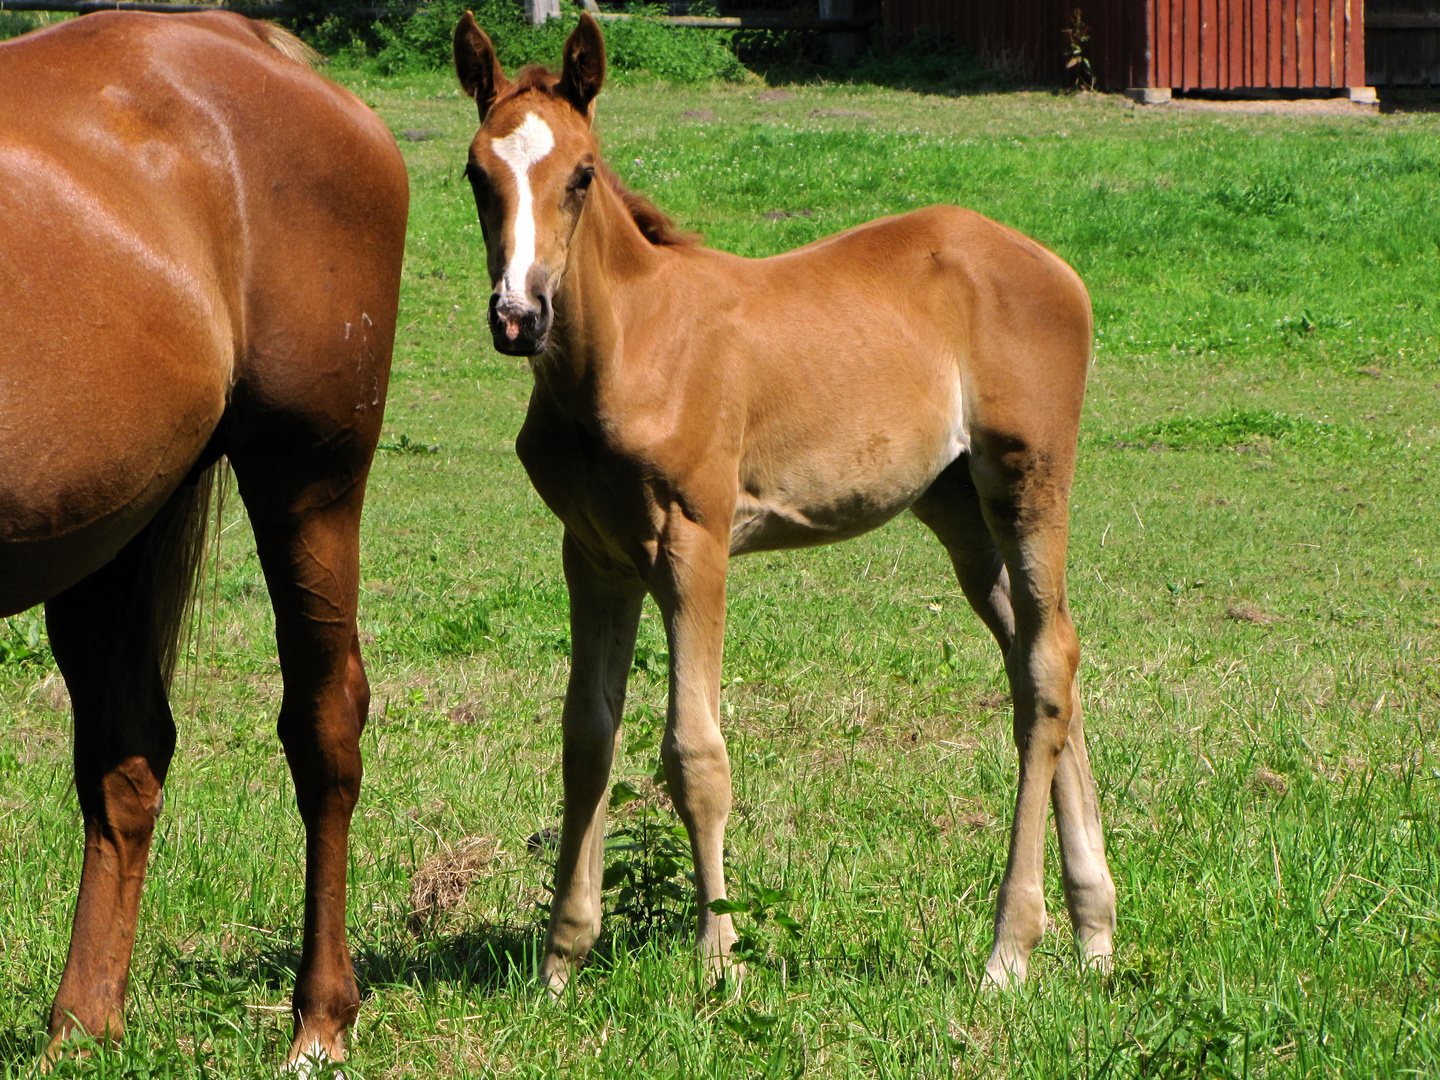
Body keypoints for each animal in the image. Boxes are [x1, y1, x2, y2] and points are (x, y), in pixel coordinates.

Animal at [1, 10, 406, 1077]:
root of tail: (244, 39)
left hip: (308, 482)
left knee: (324, 724)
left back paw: (319, 1019)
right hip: (109, 528)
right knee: (128, 755)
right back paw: (81, 1026)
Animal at [455, 12, 1117, 996]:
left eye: (580, 173)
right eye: (476, 173)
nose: (518, 315)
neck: (626, 351)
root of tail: (1057, 268)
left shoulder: (693, 544)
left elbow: (694, 752)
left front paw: (719, 956)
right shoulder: (595, 555)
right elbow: (586, 740)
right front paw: (561, 960)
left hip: (1026, 480)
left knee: (1042, 670)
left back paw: (1011, 946)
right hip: (958, 509)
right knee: (1049, 656)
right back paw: (1094, 930)